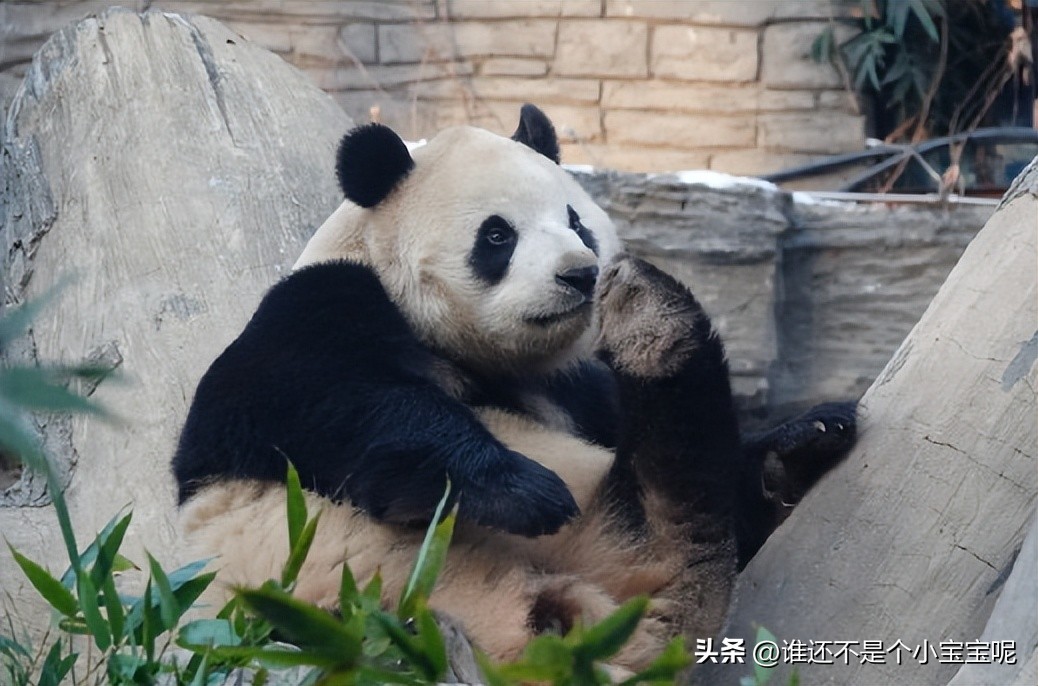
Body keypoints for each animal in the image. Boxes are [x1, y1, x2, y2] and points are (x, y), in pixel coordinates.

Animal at [173, 104, 856, 673]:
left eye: (576, 220)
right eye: (498, 235)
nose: (581, 276)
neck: (475, 355)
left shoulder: (574, 389)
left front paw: (802, 435)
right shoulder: (320, 305)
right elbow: (310, 398)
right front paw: (519, 489)